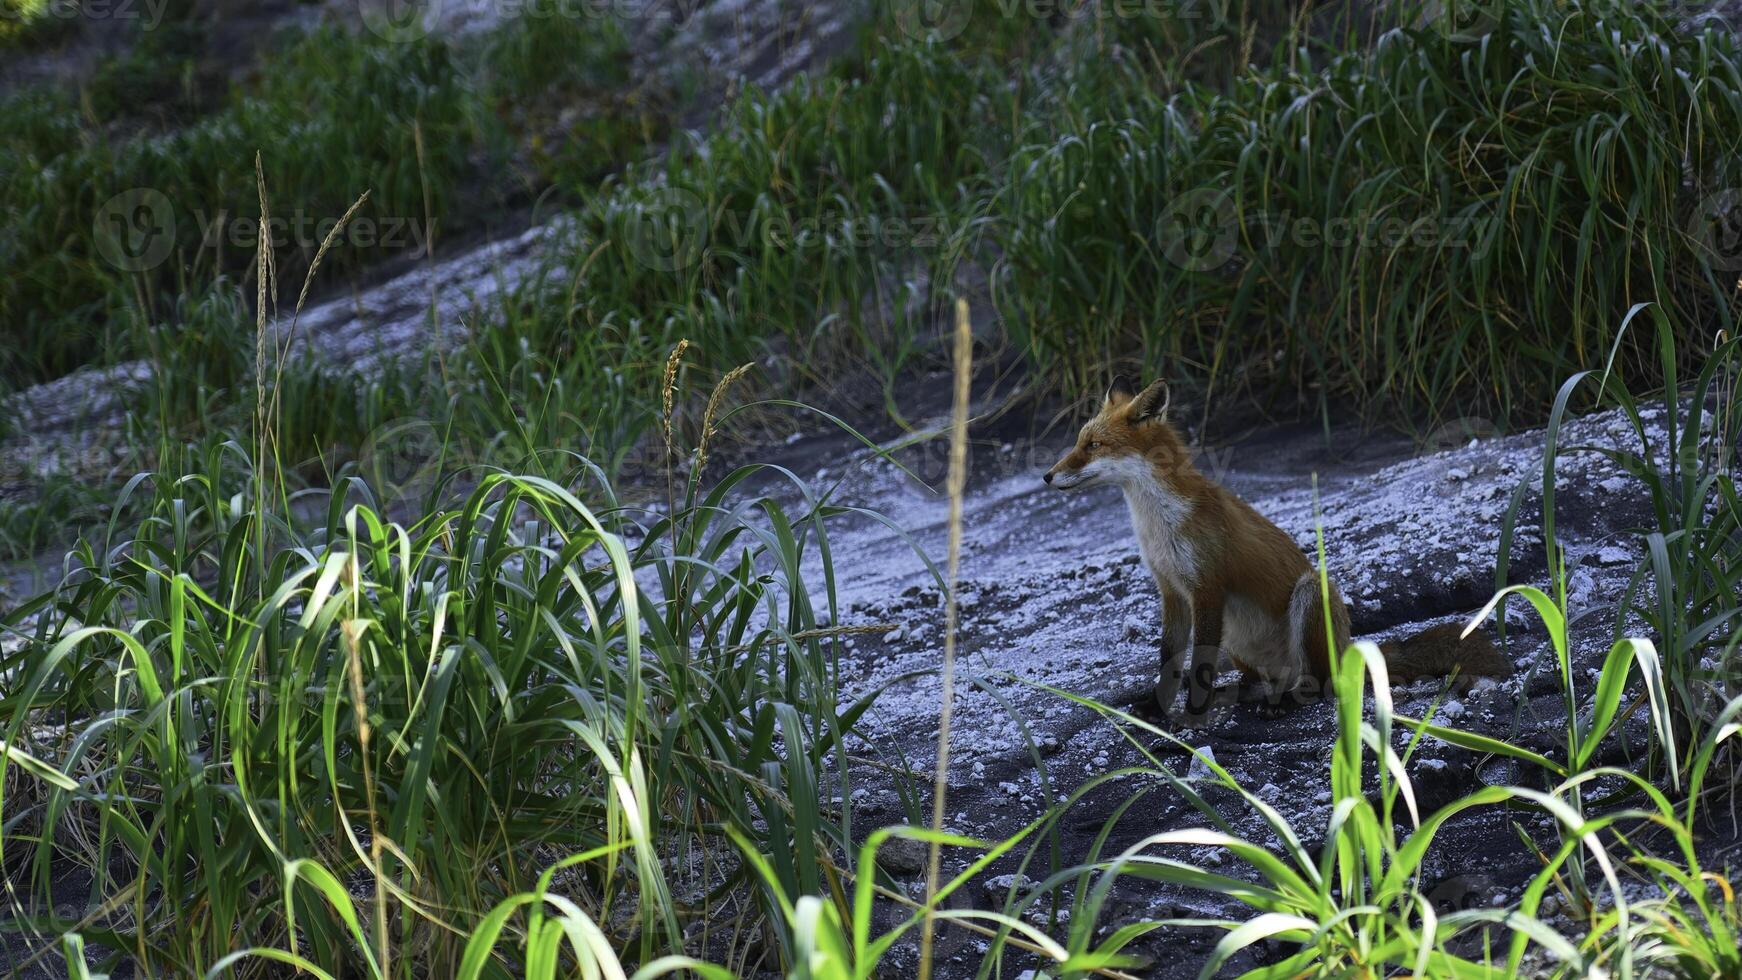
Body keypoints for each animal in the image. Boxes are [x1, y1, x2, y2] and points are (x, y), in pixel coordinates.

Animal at [1045, 375, 1512, 720]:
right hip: (1238, 635)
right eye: (1079, 441)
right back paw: (1245, 693)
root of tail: (1346, 650)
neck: (1157, 523)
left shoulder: (1207, 588)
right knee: (1258, 682)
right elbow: (1169, 660)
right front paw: (1156, 709)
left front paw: (1191, 718)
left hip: (1310, 593)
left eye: (1093, 446)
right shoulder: (1172, 591)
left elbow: (1198, 666)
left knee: (1318, 685)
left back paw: (1285, 702)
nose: (1047, 476)